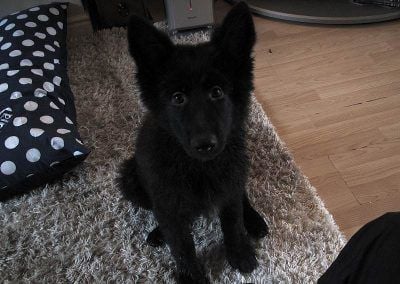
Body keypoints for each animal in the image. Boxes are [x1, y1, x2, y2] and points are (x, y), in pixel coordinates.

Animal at [119, 2, 268, 284]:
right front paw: (191, 276)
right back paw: (158, 232)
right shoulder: (168, 201)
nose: (205, 144)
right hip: (129, 176)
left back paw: (254, 221)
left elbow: (233, 221)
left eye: (217, 92)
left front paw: (239, 253)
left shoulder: (229, 185)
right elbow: (181, 243)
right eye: (178, 98)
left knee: (242, 196)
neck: (200, 166)